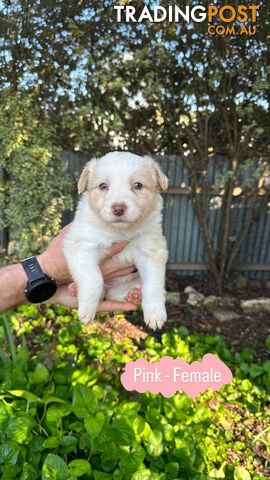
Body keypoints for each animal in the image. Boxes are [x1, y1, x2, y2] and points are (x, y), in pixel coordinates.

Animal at [63, 151, 169, 330]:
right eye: (103, 186)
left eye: (138, 185)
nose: (118, 208)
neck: (120, 231)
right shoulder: (82, 244)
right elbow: (93, 278)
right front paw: (87, 310)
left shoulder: (151, 251)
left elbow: (153, 284)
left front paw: (155, 314)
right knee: (102, 292)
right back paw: (74, 289)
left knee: (119, 293)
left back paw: (133, 295)